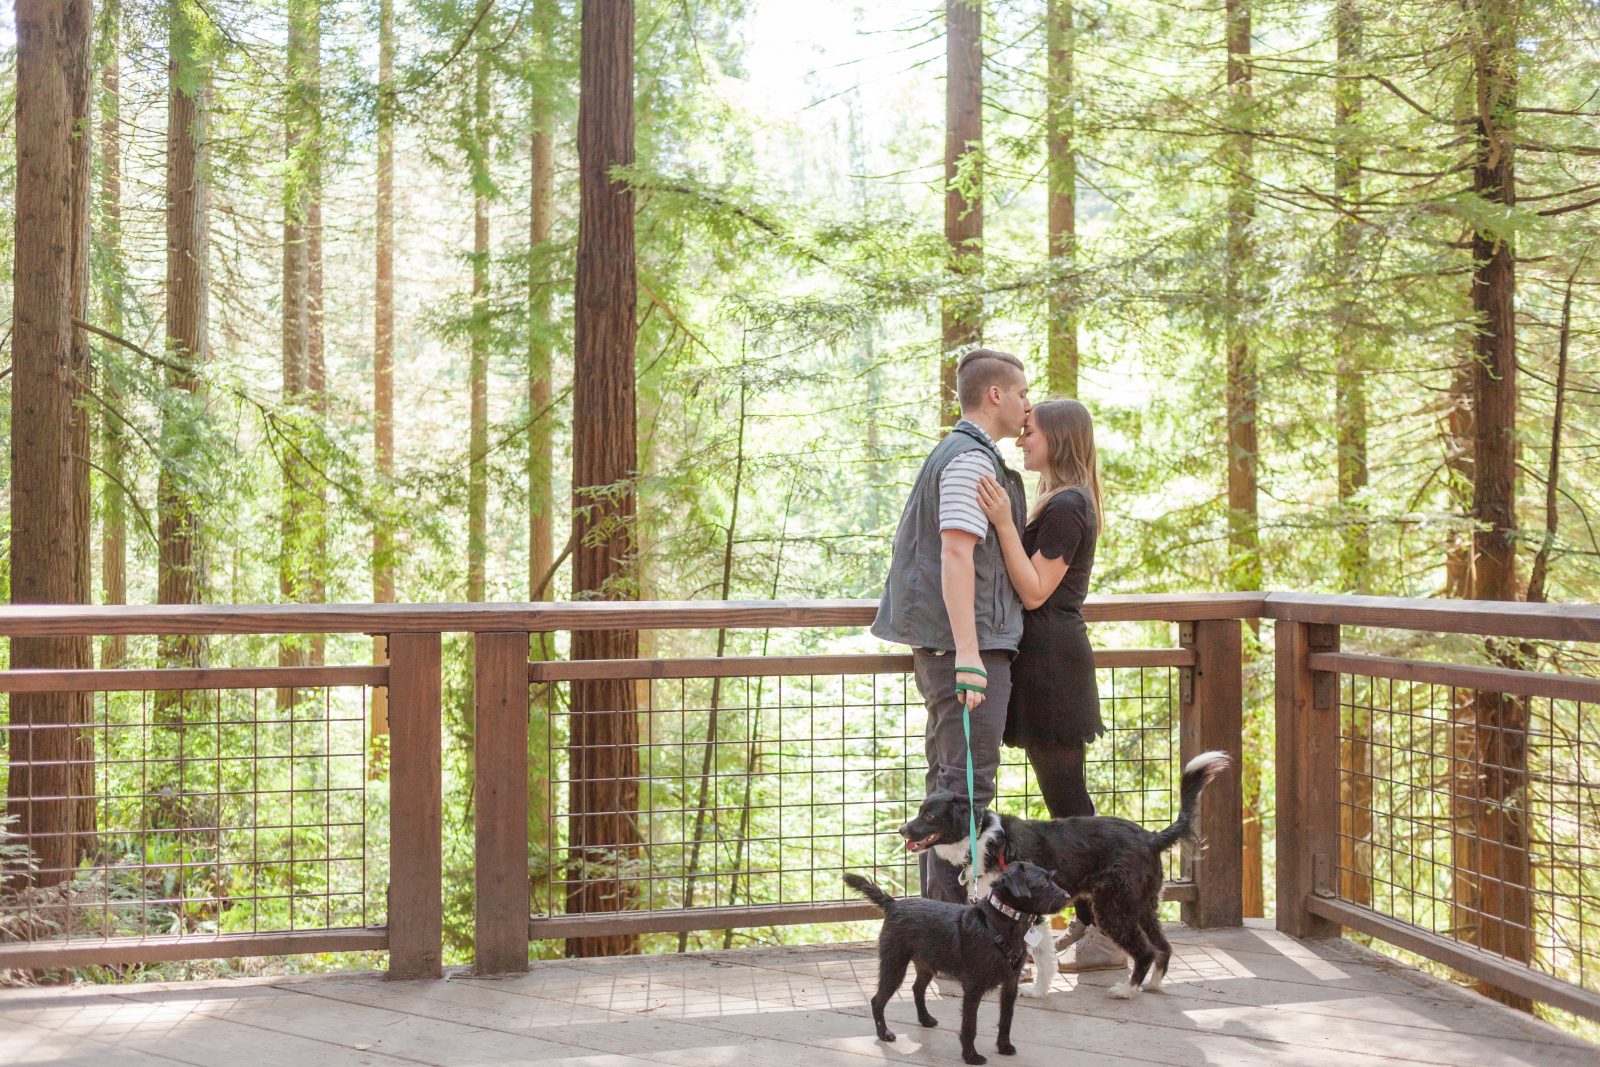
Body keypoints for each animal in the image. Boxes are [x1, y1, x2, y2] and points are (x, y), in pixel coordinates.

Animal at [844, 863, 1068, 1062]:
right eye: (1044, 883)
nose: (1067, 896)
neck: (1002, 924)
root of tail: (893, 904)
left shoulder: (1010, 984)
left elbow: (1006, 1019)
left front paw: (1004, 1046)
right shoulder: (973, 988)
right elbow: (970, 1026)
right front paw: (970, 1056)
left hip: (926, 965)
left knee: (917, 989)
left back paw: (925, 1019)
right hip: (894, 967)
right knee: (877, 1000)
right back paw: (883, 1033)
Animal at [908, 751, 1228, 1004]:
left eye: (928, 816)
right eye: (920, 812)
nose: (902, 830)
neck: (986, 838)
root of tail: (1151, 837)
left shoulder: (1030, 911)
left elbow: (1040, 955)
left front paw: (1036, 992)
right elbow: (1042, 955)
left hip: (1113, 908)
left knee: (1146, 951)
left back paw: (1126, 990)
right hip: (1142, 905)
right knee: (1163, 946)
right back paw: (1152, 984)